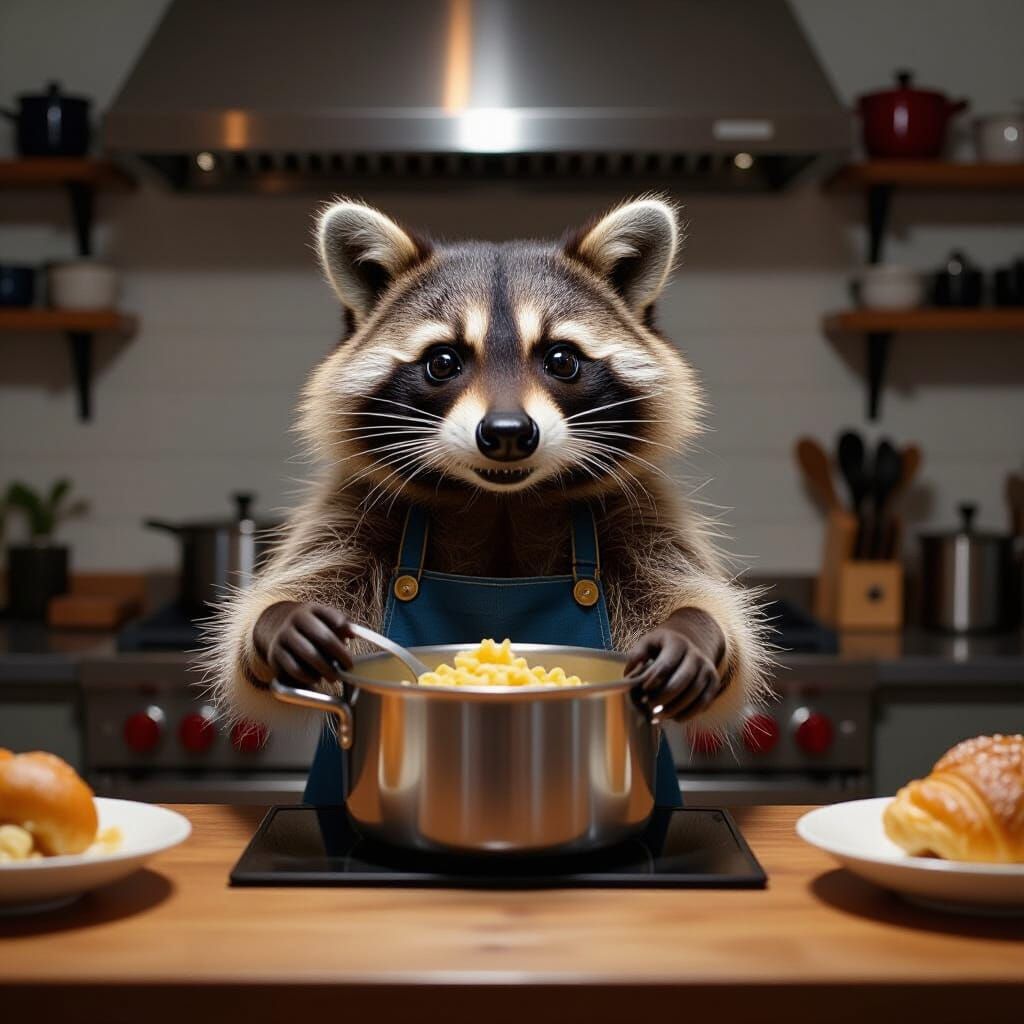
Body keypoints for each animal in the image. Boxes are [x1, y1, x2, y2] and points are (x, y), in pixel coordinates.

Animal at [205, 196, 771, 736]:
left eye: (562, 359)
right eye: (443, 362)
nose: (507, 434)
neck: (503, 503)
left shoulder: (639, 507)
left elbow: (681, 582)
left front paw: (695, 629)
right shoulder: (354, 505)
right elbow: (309, 572)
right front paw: (279, 620)